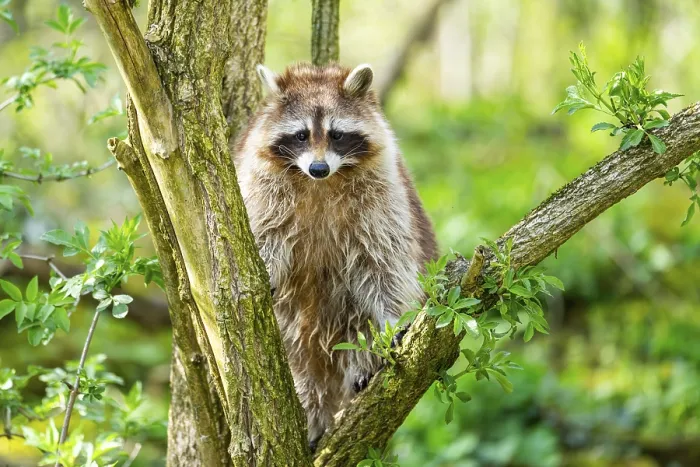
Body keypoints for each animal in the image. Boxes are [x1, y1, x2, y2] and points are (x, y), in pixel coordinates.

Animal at [233, 62, 438, 444]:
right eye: (300, 135)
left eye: (337, 134)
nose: (318, 168)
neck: (321, 183)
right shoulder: (260, 185)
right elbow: (260, 232)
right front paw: (265, 265)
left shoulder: (383, 192)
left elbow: (385, 262)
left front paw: (393, 320)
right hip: (290, 333)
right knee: (299, 363)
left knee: (360, 316)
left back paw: (364, 365)